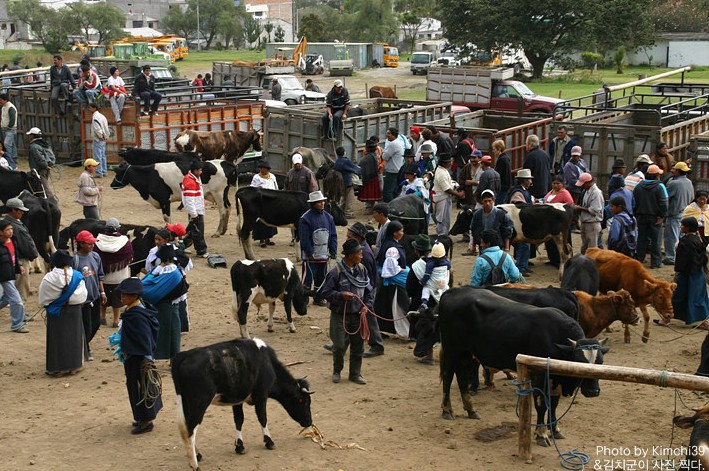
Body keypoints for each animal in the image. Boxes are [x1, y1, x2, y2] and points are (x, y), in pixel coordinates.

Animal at [171, 340, 312, 471]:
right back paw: (194, 464)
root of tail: (183, 355)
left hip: (185, 403)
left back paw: (197, 455)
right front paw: (269, 442)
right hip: (199, 403)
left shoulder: (237, 400)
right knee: (190, 430)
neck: (269, 364)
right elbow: (262, 418)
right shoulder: (261, 395)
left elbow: (239, 420)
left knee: (185, 428)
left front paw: (240, 446)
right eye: (302, 401)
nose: (309, 422)